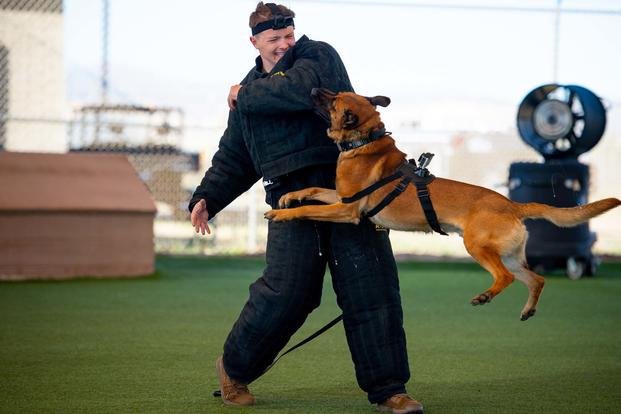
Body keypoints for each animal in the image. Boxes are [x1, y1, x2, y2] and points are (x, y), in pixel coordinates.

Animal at [264, 87, 616, 320]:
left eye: (333, 99)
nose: (313, 88)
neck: (366, 141)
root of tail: (513, 205)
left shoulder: (346, 210)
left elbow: (309, 209)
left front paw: (281, 213)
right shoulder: (340, 198)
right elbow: (312, 189)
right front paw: (289, 196)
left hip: (478, 247)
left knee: (505, 277)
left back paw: (485, 296)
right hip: (510, 255)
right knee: (537, 278)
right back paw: (528, 310)